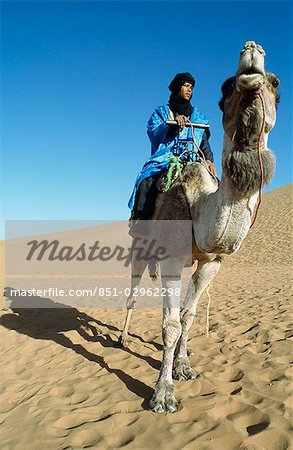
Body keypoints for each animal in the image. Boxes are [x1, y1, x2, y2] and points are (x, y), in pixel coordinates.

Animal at [119, 40, 278, 414]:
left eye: (277, 84)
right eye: (226, 86)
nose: (252, 50)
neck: (200, 205)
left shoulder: (212, 261)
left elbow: (188, 315)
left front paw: (183, 367)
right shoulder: (171, 258)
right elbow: (171, 324)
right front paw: (163, 395)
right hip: (140, 247)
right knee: (133, 291)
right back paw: (120, 337)